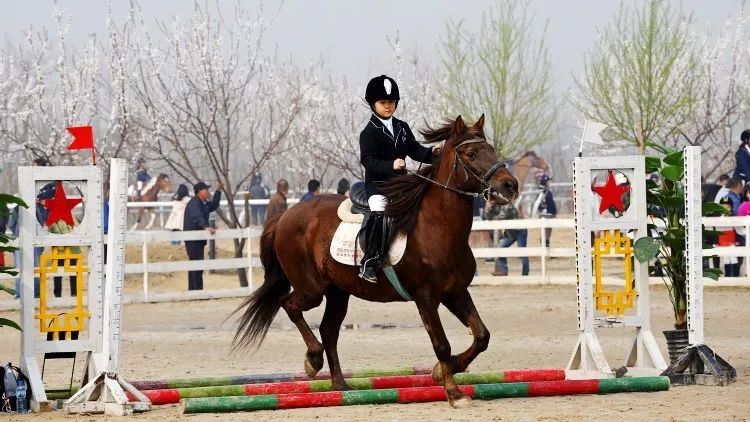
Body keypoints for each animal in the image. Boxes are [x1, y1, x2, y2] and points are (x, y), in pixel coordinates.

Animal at [232, 115, 520, 408]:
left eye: (492, 150)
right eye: (471, 154)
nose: (510, 186)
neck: (438, 228)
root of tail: (286, 215)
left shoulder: (455, 292)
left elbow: (481, 336)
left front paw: (442, 371)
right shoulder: (426, 297)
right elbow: (441, 344)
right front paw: (454, 392)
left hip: (338, 291)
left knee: (328, 330)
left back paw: (340, 385)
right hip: (312, 289)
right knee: (289, 305)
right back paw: (313, 359)